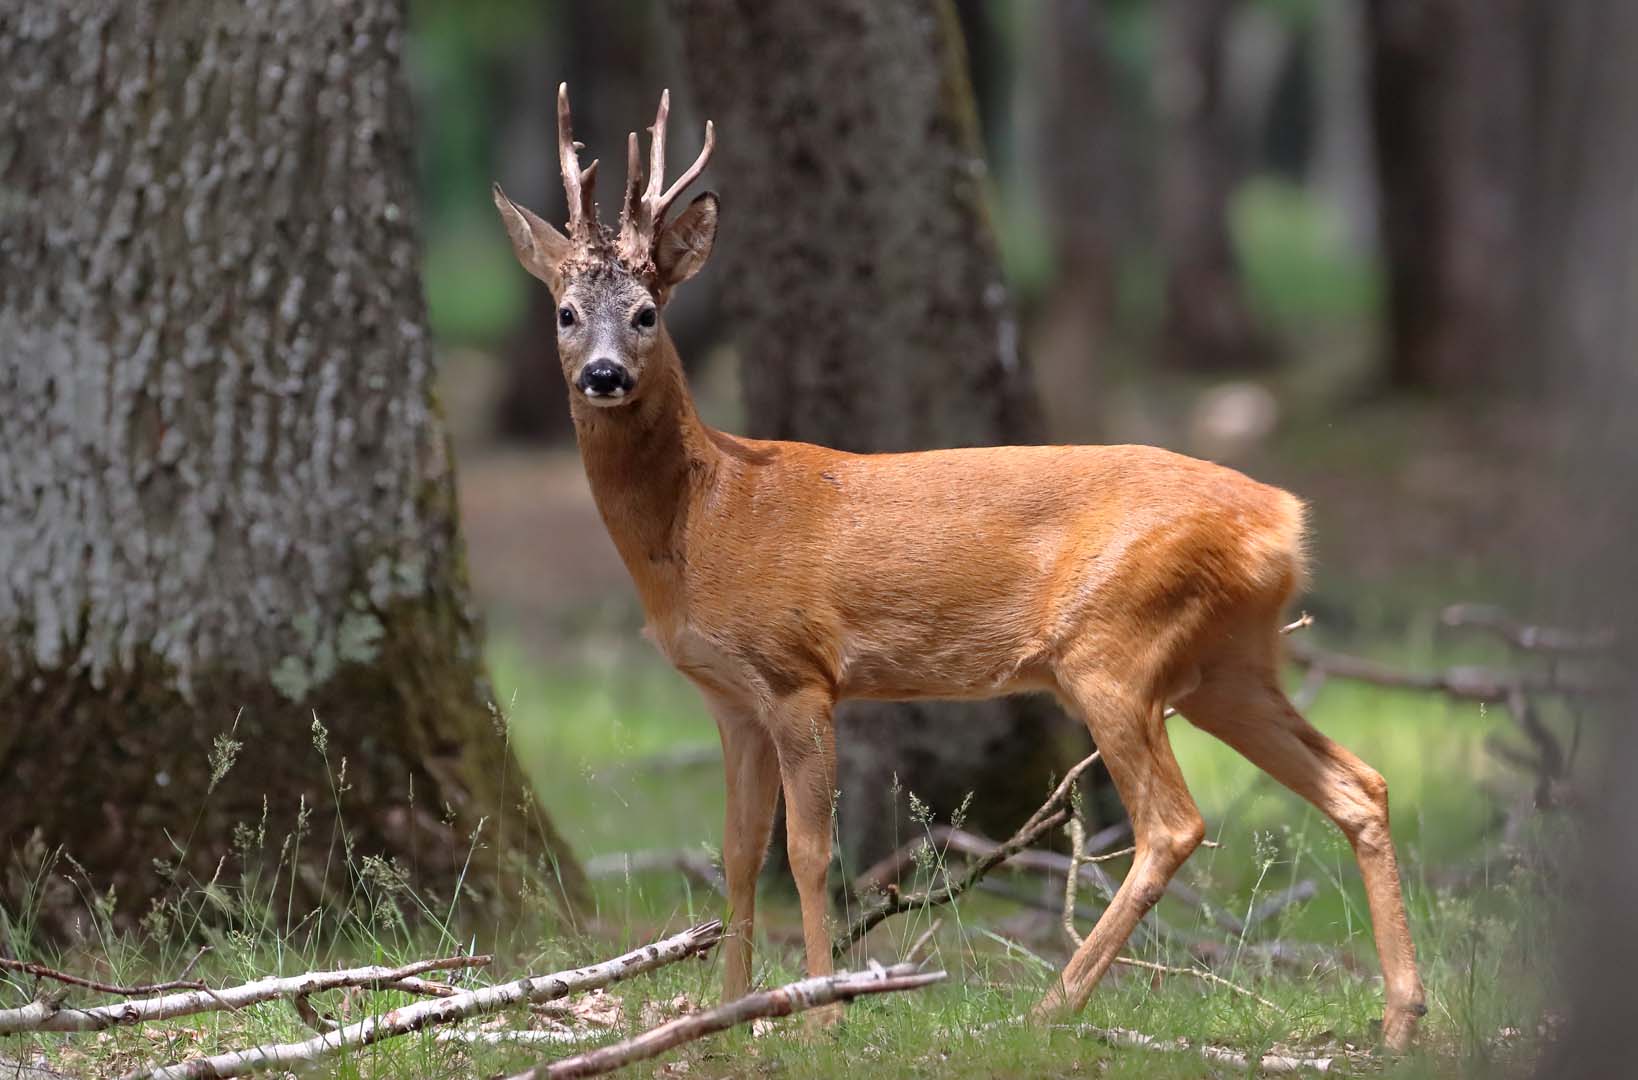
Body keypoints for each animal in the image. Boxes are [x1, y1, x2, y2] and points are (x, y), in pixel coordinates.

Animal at [491, 86, 1428, 1055]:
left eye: (648, 311)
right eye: (566, 312)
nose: (604, 375)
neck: (707, 512)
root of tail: (1284, 519)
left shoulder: (799, 675)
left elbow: (813, 853)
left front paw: (820, 1013)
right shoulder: (729, 699)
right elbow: (739, 851)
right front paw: (725, 1014)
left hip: (1115, 648)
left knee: (1175, 825)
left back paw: (1051, 1006)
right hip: (1228, 664)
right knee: (1360, 785)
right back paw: (1401, 1016)